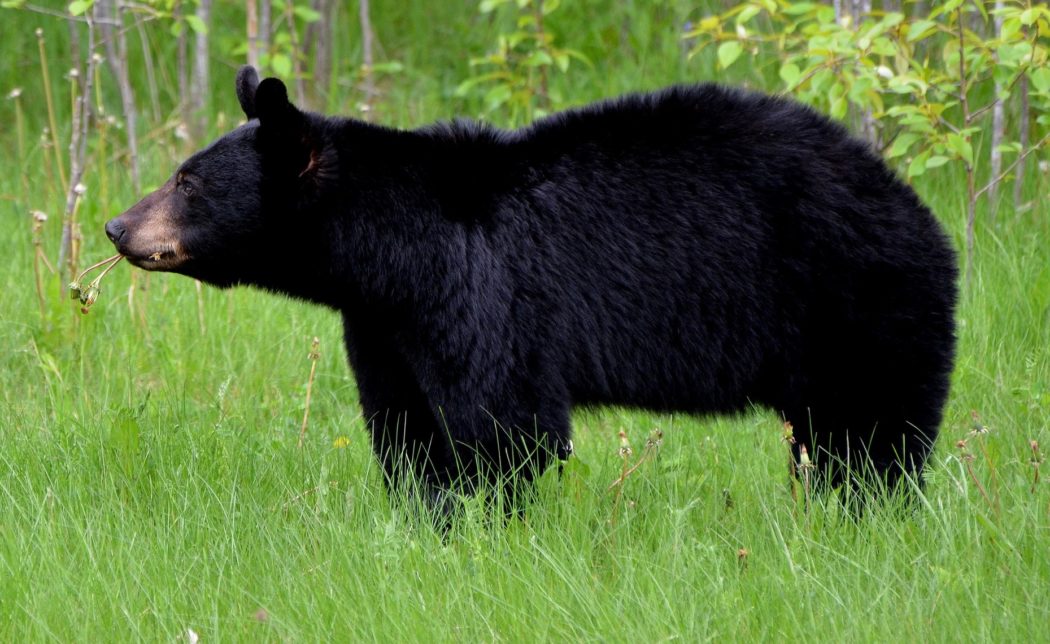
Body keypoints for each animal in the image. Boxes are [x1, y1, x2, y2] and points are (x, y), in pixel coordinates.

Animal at [106, 66, 957, 509]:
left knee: (870, 435)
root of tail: (919, 211)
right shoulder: (383, 322)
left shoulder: (484, 292)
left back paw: (864, 511)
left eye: (187, 181)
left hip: (859, 302)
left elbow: (503, 425)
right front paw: (426, 518)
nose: (116, 227)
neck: (389, 252)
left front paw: (488, 523)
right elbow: (406, 424)